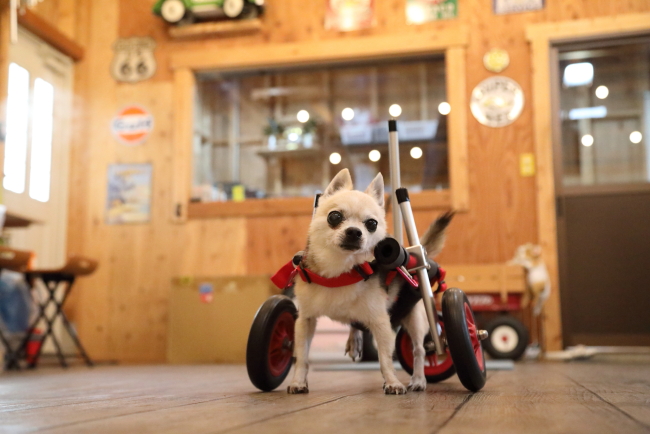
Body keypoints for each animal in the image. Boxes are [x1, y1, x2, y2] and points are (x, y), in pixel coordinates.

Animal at [288, 168, 450, 396]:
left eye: (371, 224)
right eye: (335, 216)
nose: (354, 232)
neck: (341, 272)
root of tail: (419, 253)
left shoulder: (380, 323)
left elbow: (385, 359)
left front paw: (392, 382)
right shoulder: (306, 321)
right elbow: (302, 357)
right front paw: (298, 382)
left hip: (416, 320)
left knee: (420, 350)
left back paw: (419, 379)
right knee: (356, 324)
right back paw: (354, 341)